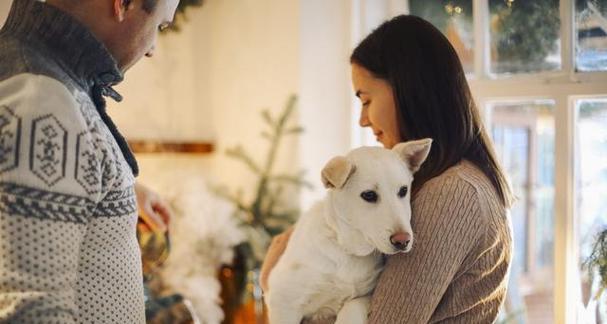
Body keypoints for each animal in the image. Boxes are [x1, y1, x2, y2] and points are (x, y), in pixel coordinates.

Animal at [266, 139, 432, 324]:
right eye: (369, 195)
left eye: (403, 191)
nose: (403, 240)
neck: (347, 250)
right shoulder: (283, 301)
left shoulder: (365, 295)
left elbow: (352, 307)